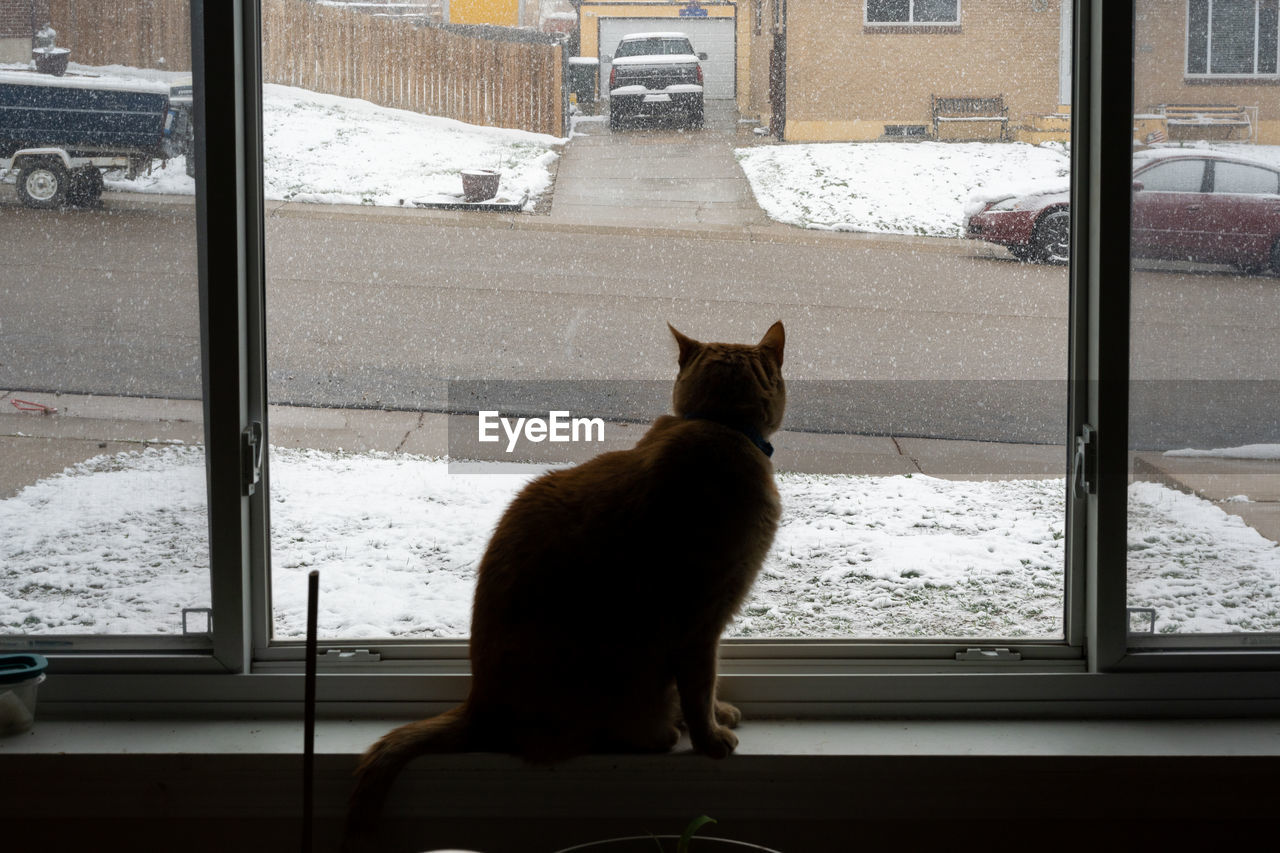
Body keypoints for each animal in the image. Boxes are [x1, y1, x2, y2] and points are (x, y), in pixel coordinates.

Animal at [348, 318, 778, 829]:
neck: (719, 426)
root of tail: (479, 705)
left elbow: (707, 690)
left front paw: (719, 717)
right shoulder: (701, 625)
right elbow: (701, 687)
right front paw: (710, 739)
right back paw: (662, 734)